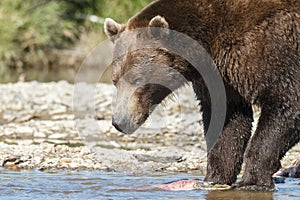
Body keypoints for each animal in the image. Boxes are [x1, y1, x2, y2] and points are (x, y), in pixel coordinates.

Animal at [104, 0, 298, 191]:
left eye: (137, 79)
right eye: (115, 80)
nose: (120, 122)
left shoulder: (272, 46)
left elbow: (286, 103)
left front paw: (252, 181)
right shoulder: (219, 77)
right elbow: (227, 121)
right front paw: (215, 178)